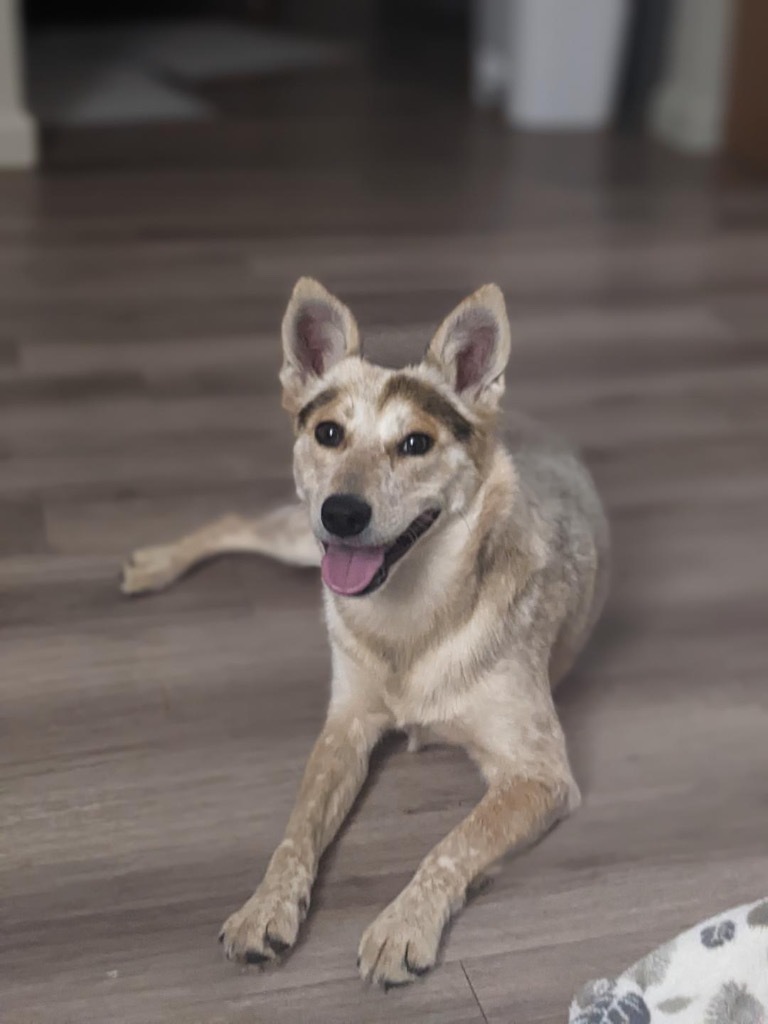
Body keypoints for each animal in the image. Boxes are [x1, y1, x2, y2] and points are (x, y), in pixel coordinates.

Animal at [123, 276, 610, 987]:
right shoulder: (345, 726)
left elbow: (454, 842)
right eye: (329, 432)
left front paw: (402, 925)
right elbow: (298, 829)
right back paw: (156, 563)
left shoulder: (539, 773)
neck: (410, 616)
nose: (343, 513)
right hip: (301, 535)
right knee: (237, 521)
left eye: (416, 444)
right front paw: (264, 908)